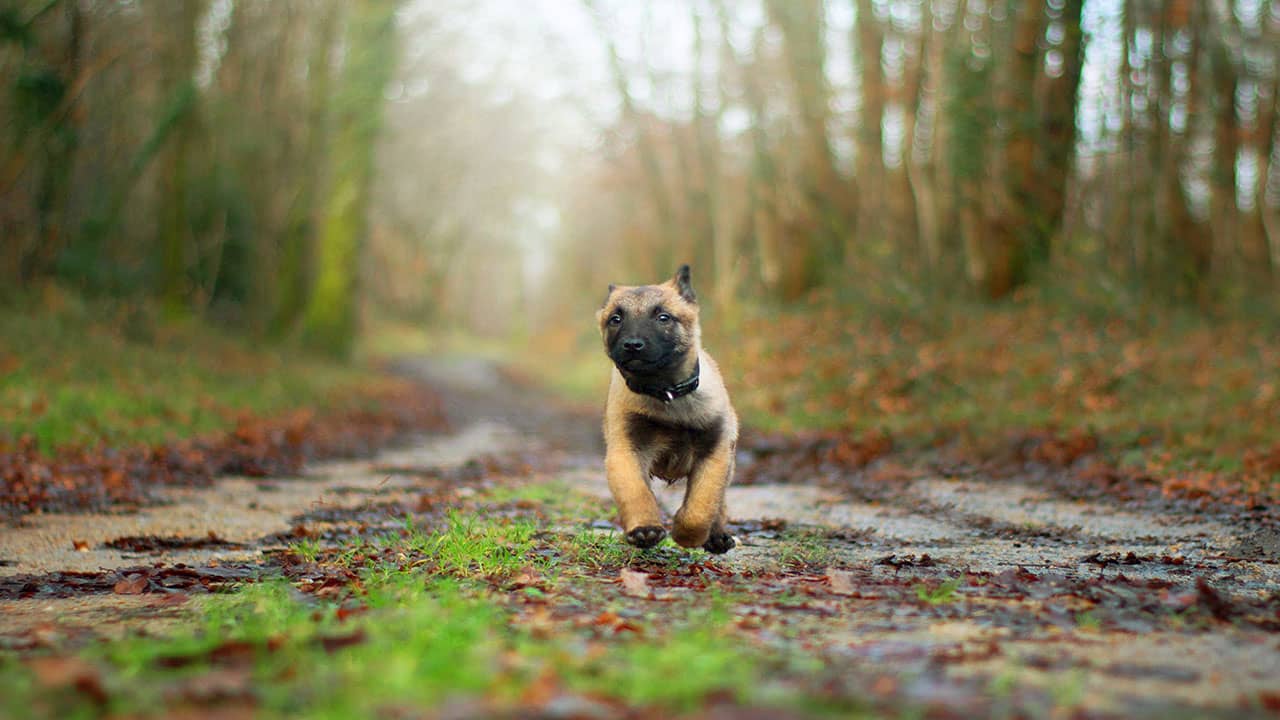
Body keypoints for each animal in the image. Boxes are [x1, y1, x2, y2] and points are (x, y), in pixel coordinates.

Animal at [593, 263, 737, 548]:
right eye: (615, 319)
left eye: (663, 318)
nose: (632, 345)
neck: (665, 393)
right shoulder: (626, 450)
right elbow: (635, 491)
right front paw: (644, 529)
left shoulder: (714, 452)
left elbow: (702, 503)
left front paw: (686, 534)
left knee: (721, 501)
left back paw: (717, 535)